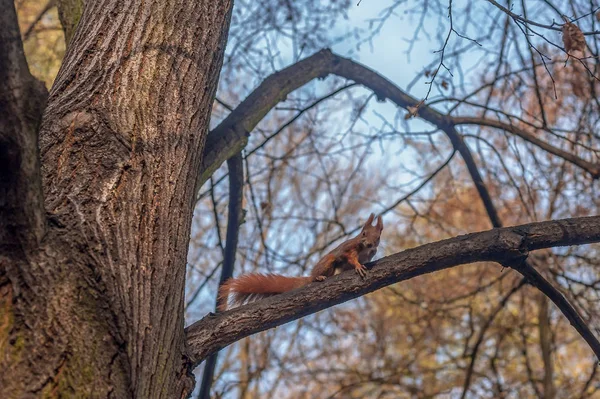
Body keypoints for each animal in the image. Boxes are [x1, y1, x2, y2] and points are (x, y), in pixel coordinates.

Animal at [218, 214, 382, 310]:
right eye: (363, 233)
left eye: (378, 238)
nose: (369, 244)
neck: (365, 250)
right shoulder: (349, 248)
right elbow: (349, 257)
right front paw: (358, 266)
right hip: (327, 261)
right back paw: (318, 277)